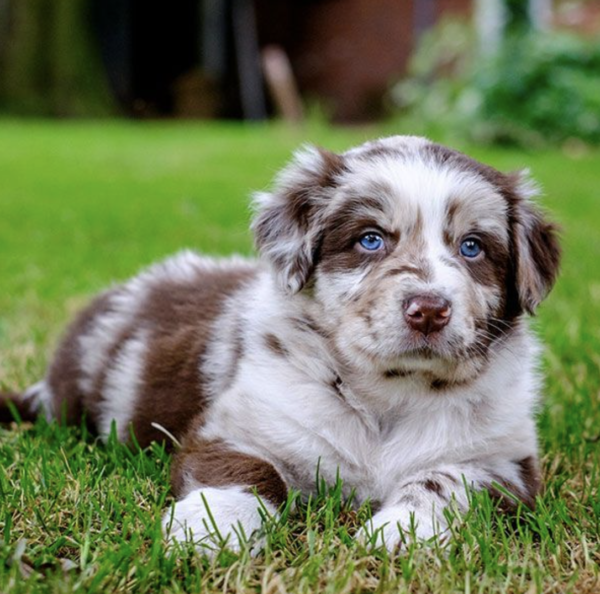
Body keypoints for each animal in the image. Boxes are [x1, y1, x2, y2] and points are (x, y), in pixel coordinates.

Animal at [1, 136, 564, 552]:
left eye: (472, 247)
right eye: (370, 239)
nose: (429, 310)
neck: (389, 395)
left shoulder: (504, 463)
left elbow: (445, 482)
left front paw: (401, 534)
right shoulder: (240, 425)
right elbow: (249, 473)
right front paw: (208, 529)